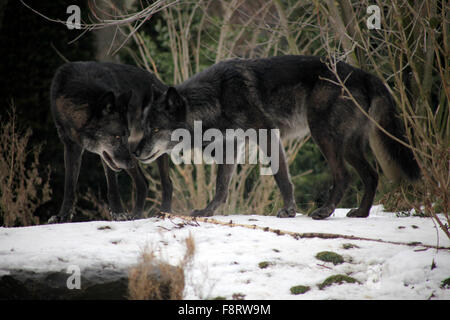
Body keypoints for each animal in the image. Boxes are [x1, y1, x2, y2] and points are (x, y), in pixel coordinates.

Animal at [49, 62, 172, 222]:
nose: (131, 163)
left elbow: (112, 186)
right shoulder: (71, 147)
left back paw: (164, 213)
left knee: (167, 183)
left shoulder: (107, 155)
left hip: (152, 149)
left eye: (125, 135)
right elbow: (69, 186)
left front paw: (118, 213)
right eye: (117, 137)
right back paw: (136, 215)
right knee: (143, 184)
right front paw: (62, 216)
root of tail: (162, 85)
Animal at [132, 55, 420, 220]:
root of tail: (363, 73)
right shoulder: (230, 147)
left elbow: (282, 176)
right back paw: (361, 213)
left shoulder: (267, 134)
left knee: (345, 176)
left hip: (323, 135)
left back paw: (325, 211)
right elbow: (221, 187)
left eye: (155, 129)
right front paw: (207, 212)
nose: (135, 152)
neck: (217, 97)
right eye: (145, 127)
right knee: (371, 175)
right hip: (348, 145)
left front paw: (290, 211)